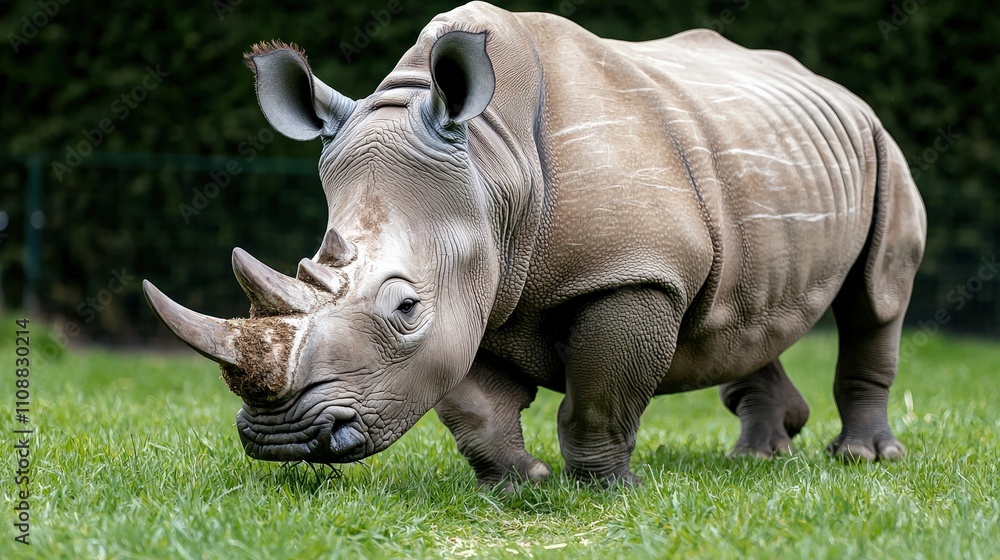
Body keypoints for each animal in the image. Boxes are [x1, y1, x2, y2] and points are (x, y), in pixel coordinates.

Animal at [144, 2, 926, 487]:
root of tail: (828, 83)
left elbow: (601, 394)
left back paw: (865, 459)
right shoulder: (475, 283)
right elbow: (472, 406)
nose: (281, 443)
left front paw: (605, 489)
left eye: (404, 308)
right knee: (745, 312)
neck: (492, 167)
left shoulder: (634, 273)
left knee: (877, 296)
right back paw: (759, 458)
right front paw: (519, 486)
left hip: (882, 141)